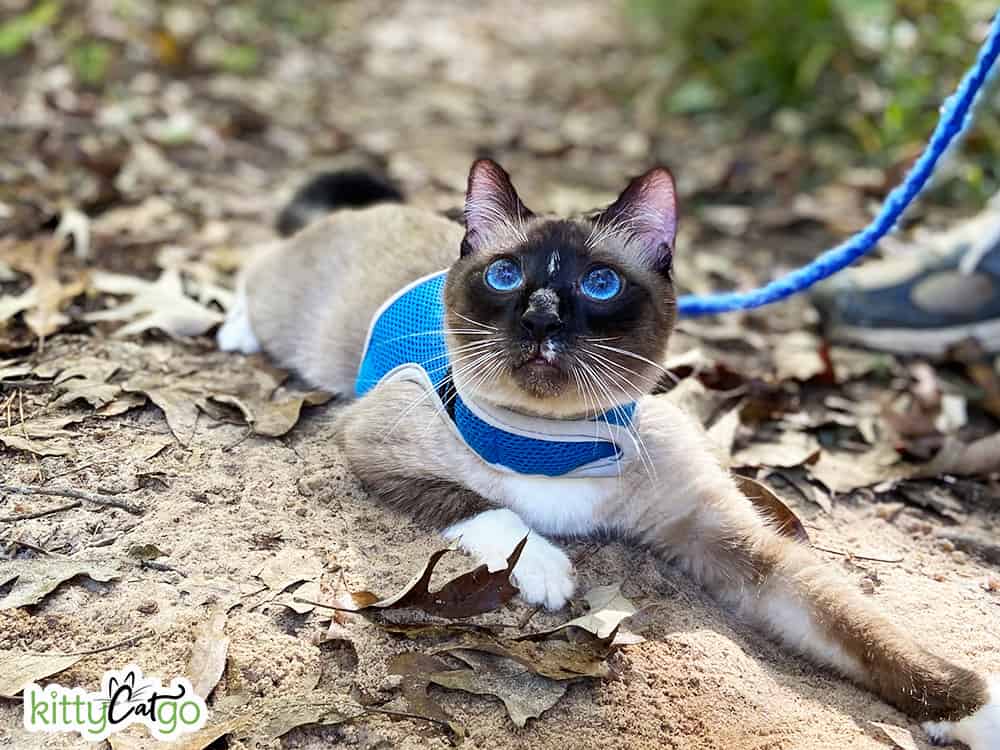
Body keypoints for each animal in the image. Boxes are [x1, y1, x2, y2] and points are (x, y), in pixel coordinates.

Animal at [221, 159, 1000, 748]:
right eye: (507, 277)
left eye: (599, 284)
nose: (540, 316)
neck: (556, 440)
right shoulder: (374, 446)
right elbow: (489, 508)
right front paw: (545, 570)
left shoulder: (737, 548)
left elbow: (863, 630)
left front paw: (974, 712)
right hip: (292, 319)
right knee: (253, 270)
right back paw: (229, 328)